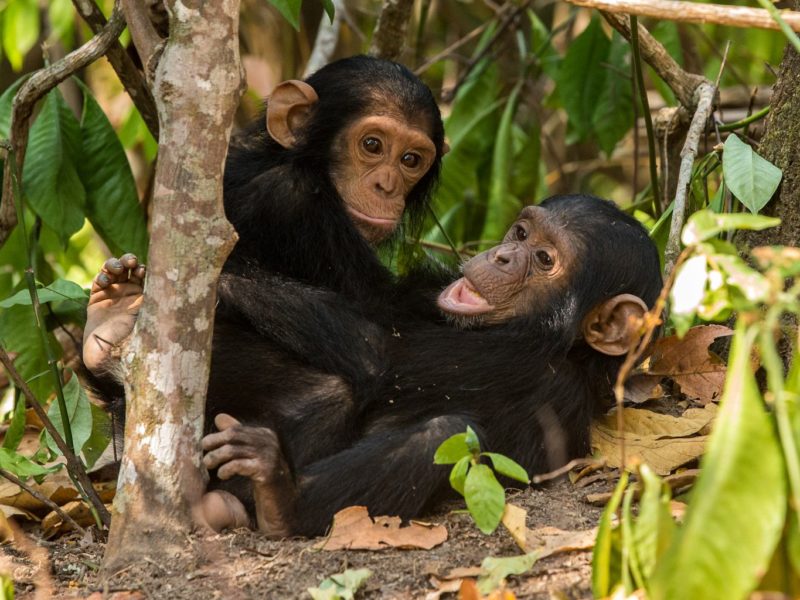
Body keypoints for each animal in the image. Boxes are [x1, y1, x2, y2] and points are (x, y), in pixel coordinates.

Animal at [195, 195, 664, 536]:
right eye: (521, 232)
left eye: (545, 259)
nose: (503, 256)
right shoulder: (425, 292)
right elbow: (379, 301)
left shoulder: (514, 359)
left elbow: (378, 348)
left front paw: (223, 278)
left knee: (442, 431)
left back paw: (277, 497)